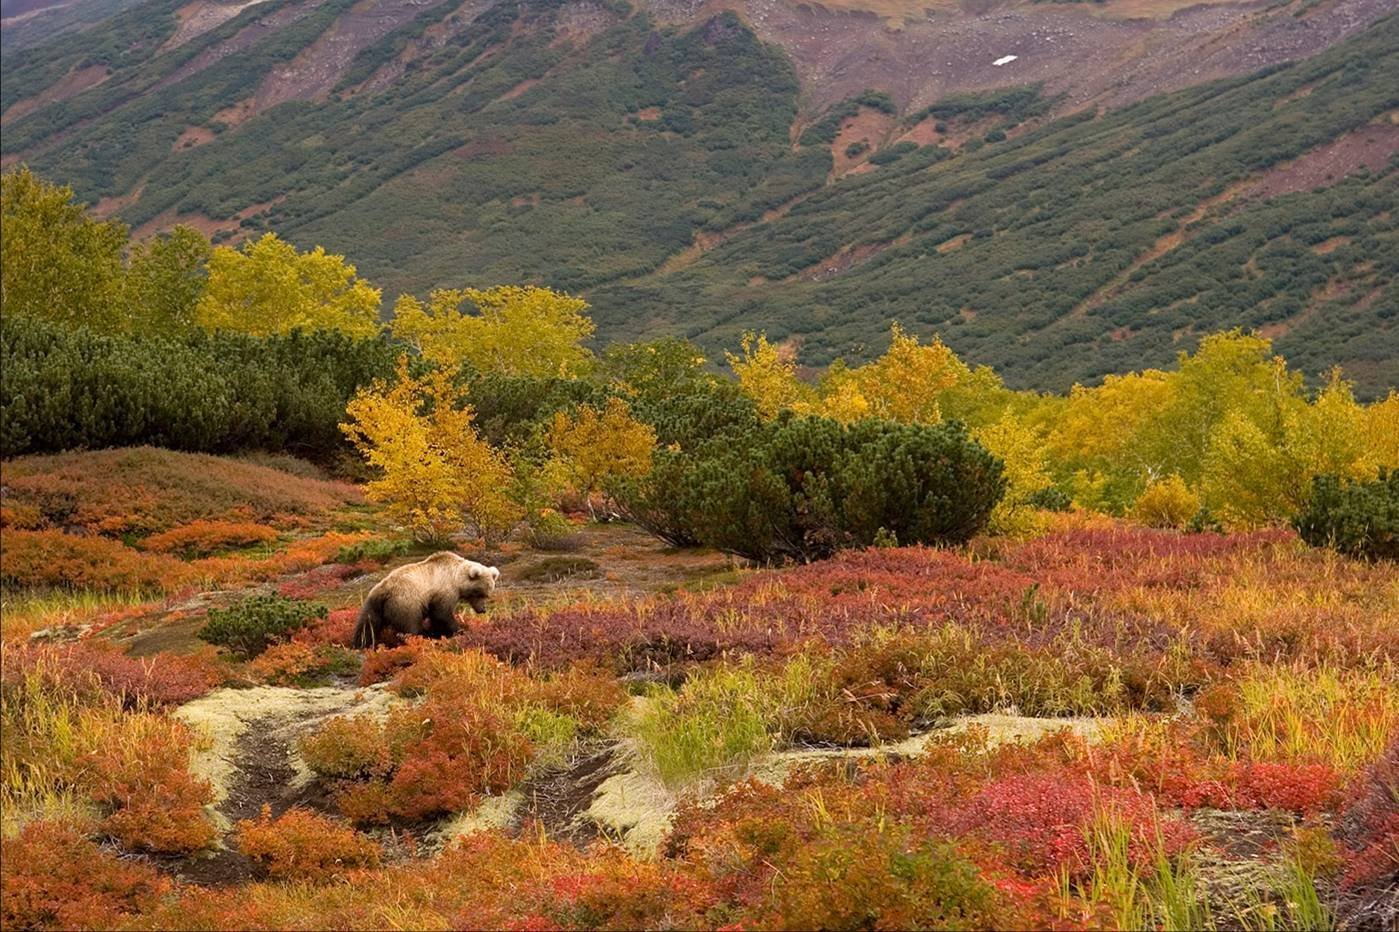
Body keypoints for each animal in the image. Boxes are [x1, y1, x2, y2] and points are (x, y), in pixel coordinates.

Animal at [352, 548, 500, 643]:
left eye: (487, 594)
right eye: (479, 593)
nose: (482, 609)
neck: (456, 579)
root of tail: (384, 589)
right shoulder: (444, 591)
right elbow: (442, 614)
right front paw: (458, 630)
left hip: (373, 604)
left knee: (367, 625)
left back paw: (361, 643)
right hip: (406, 602)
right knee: (410, 626)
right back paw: (420, 636)